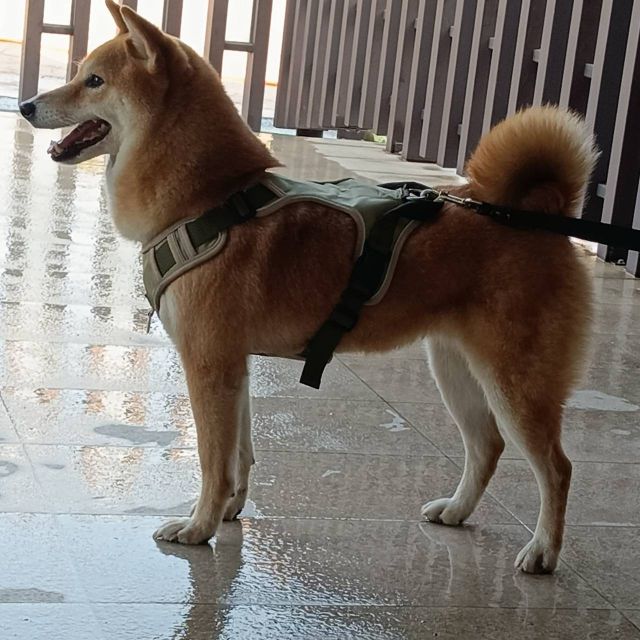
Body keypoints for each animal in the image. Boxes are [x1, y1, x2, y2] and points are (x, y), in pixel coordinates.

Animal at [19, 0, 597, 574]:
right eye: (77, 73)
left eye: (93, 80)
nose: (25, 105)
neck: (211, 199)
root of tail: (538, 214)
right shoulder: (233, 364)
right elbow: (240, 454)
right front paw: (229, 511)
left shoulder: (208, 364)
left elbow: (212, 461)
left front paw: (199, 527)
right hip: (456, 369)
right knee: (487, 446)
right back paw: (456, 511)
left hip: (514, 382)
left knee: (558, 467)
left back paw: (543, 550)